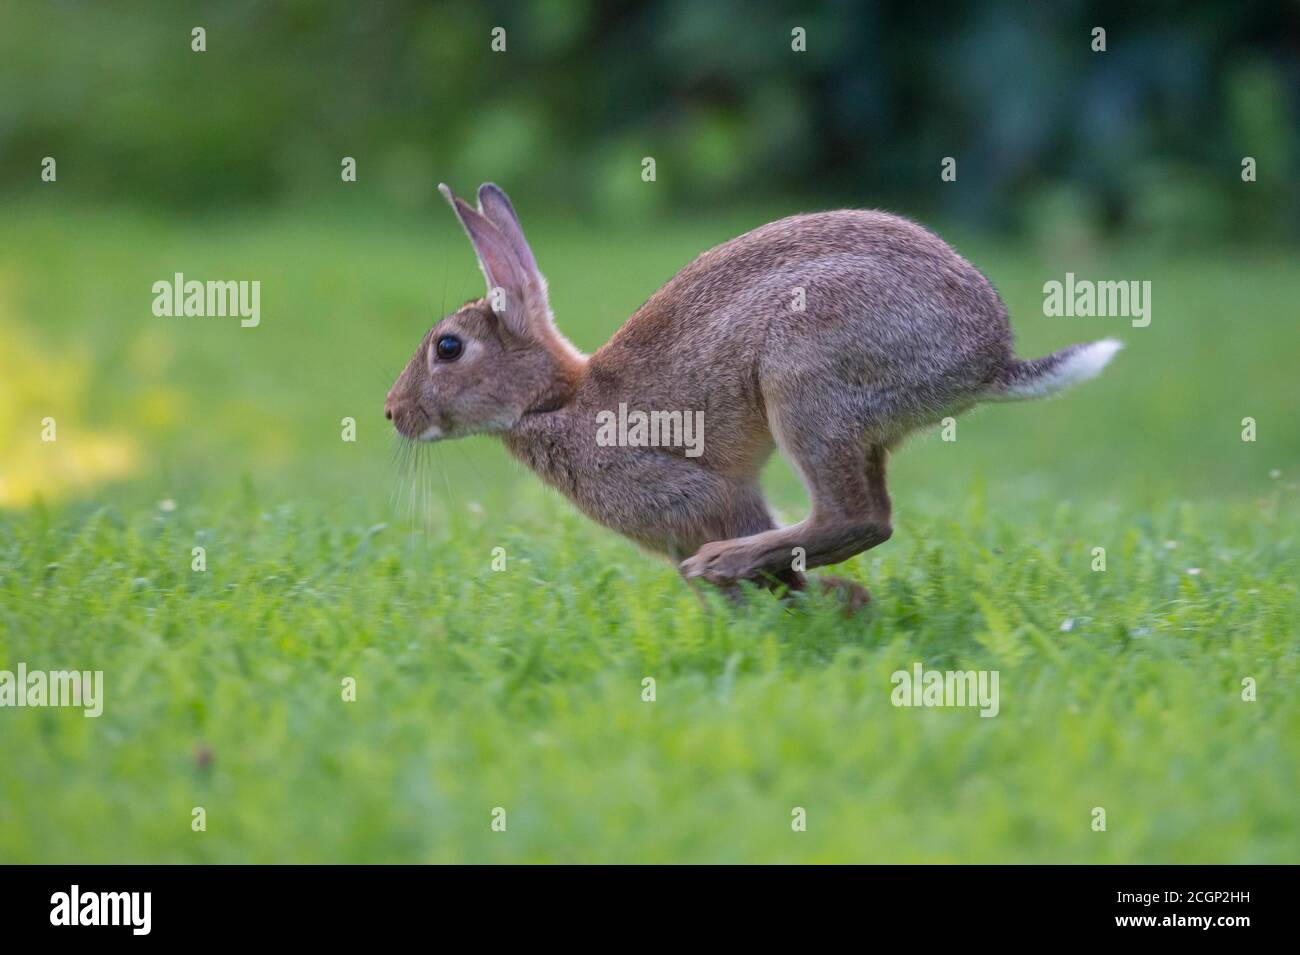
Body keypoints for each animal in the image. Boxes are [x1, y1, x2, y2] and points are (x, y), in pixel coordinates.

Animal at [385, 182, 1121, 603]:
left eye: (448, 348)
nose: (392, 413)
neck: (554, 400)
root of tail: (987, 358)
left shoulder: (694, 490)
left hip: (804, 380)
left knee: (855, 517)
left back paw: (721, 564)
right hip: (863, 427)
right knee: (869, 513)